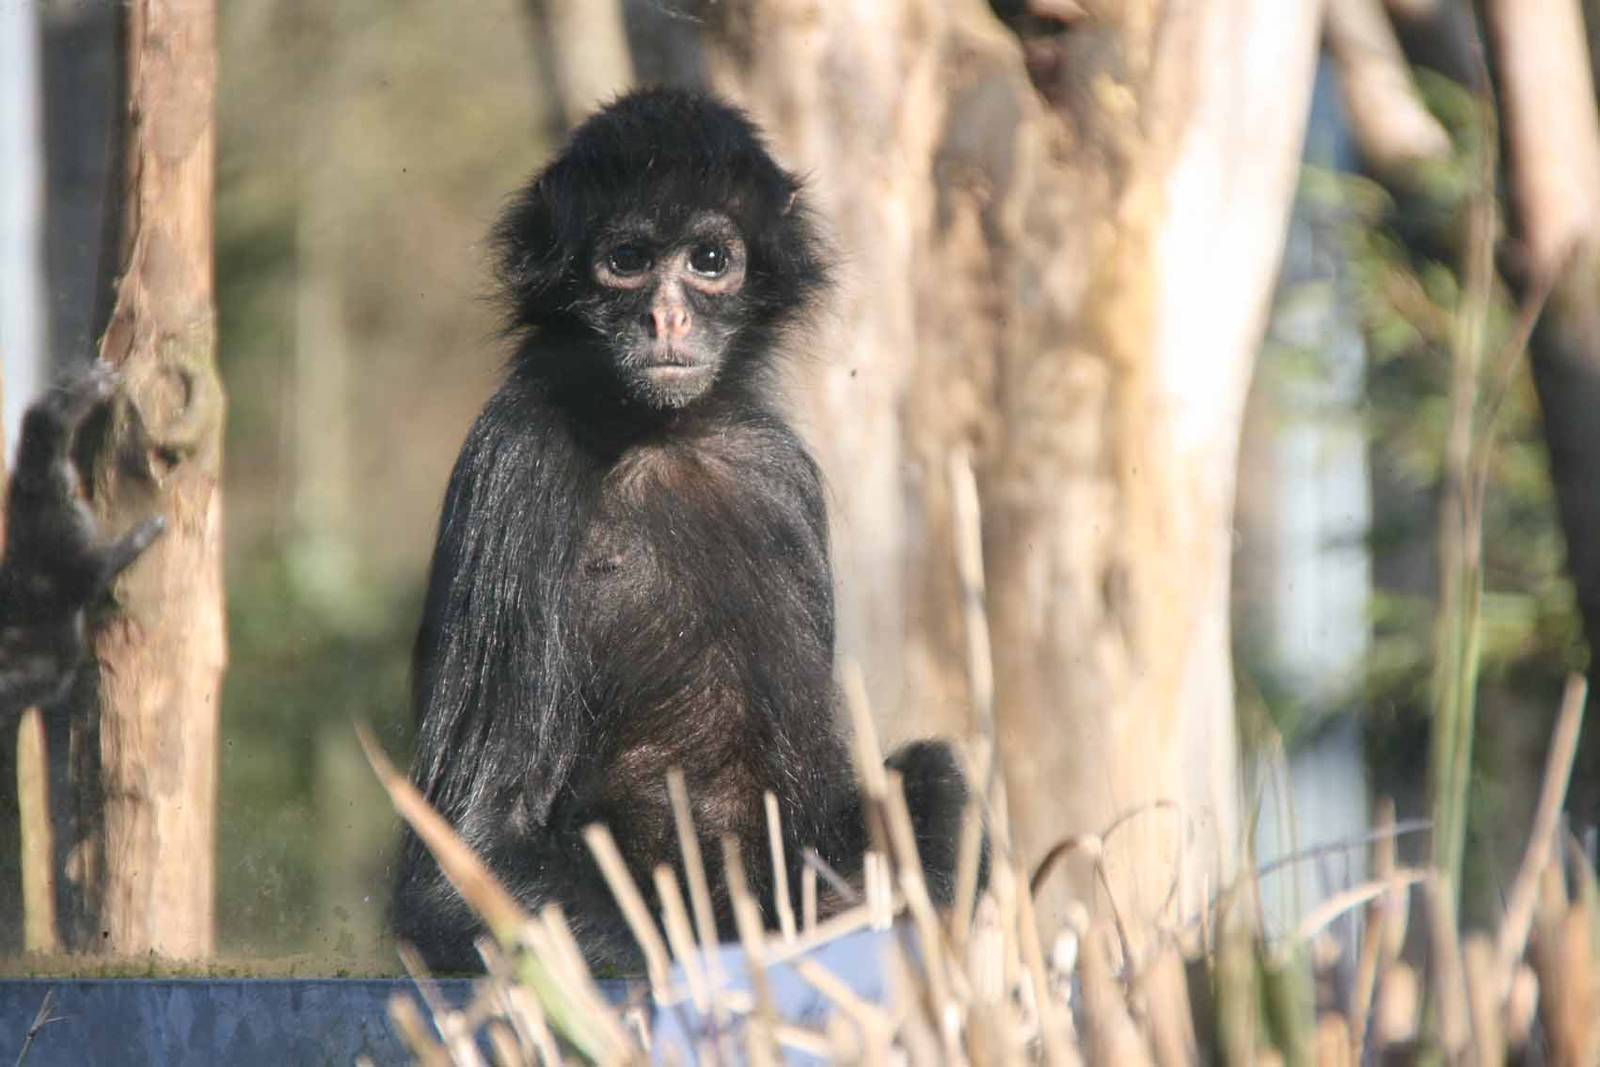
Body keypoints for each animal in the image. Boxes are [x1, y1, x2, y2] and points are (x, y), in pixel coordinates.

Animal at [392, 88, 974, 973]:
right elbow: (459, 861)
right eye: (628, 259)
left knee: (935, 773)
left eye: (708, 261)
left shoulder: (777, 468)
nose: (666, 316)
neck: (664, 436)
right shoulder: (516, 455)